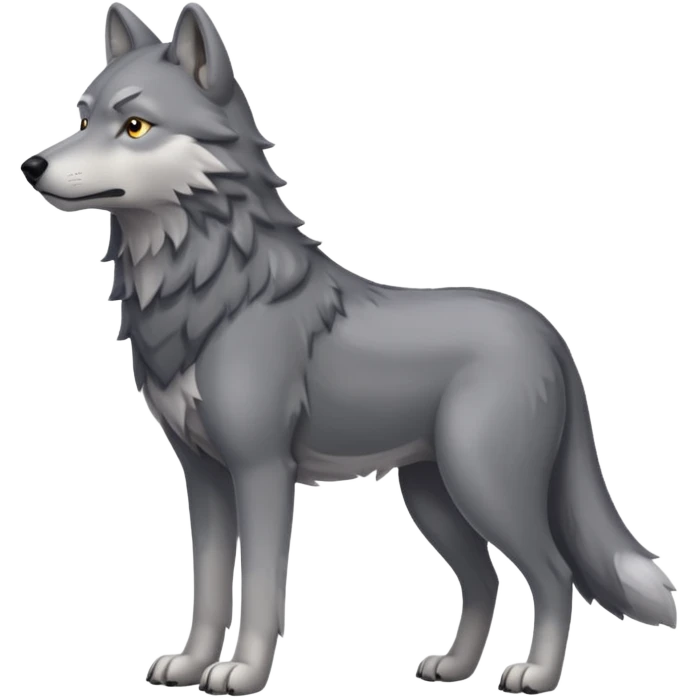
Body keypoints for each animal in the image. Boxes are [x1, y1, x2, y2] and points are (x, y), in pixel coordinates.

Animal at [21, 2, 678, 695]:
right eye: (83, 118)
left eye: (136, 125)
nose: (31, 165)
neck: (211, 295)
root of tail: (548, 332)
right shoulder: (203, 477)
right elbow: (209, 589)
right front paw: (192, 665)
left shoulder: (262, 471)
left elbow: (261, 588)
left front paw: (244, 672)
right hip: (433, 498)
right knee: (484, 579)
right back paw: (453, 668)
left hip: (484, 486)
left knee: (555, 575)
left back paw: (538, 675)